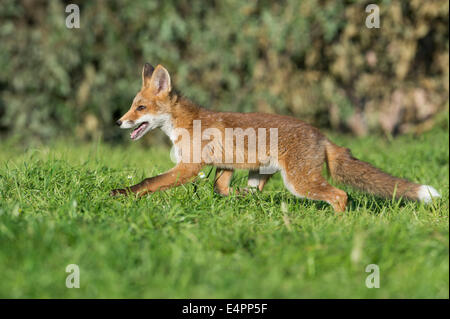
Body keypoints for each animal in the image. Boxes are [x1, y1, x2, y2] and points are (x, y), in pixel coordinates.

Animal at [110, 62, 442, 212]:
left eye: (140, 107)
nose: (119, 121)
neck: (184, 123)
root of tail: (321, 135)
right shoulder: (225, 165)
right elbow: (220, 188)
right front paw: (231, 200)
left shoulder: (188, 167)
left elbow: (150, 182)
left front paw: (123, 194)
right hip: (262, 172)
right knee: (255, 191)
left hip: (299, 182)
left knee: (340, 195)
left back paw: (340, 224)